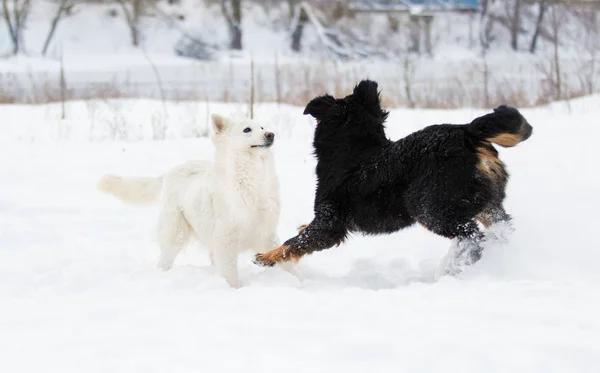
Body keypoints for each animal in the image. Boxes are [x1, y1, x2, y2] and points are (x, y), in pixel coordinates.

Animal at [98, 113, 284, 288]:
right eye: (247, 130)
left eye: (262, 127)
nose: (271, 134)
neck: (251, 177)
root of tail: (170, 172)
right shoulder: (226, 240)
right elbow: (230, 274)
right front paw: (234, 289)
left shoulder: (267, 235)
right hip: (175, 234)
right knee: (164, 260)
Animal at [255, 79, 532, 274]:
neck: (354, 150)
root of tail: (466, 134)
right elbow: (302, 234)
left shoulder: (329, 221)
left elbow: (296, 242)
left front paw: (267, 257)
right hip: (487, 204)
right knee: (501, 228)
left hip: (429, 207)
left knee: (472, 236)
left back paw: (454, 266)